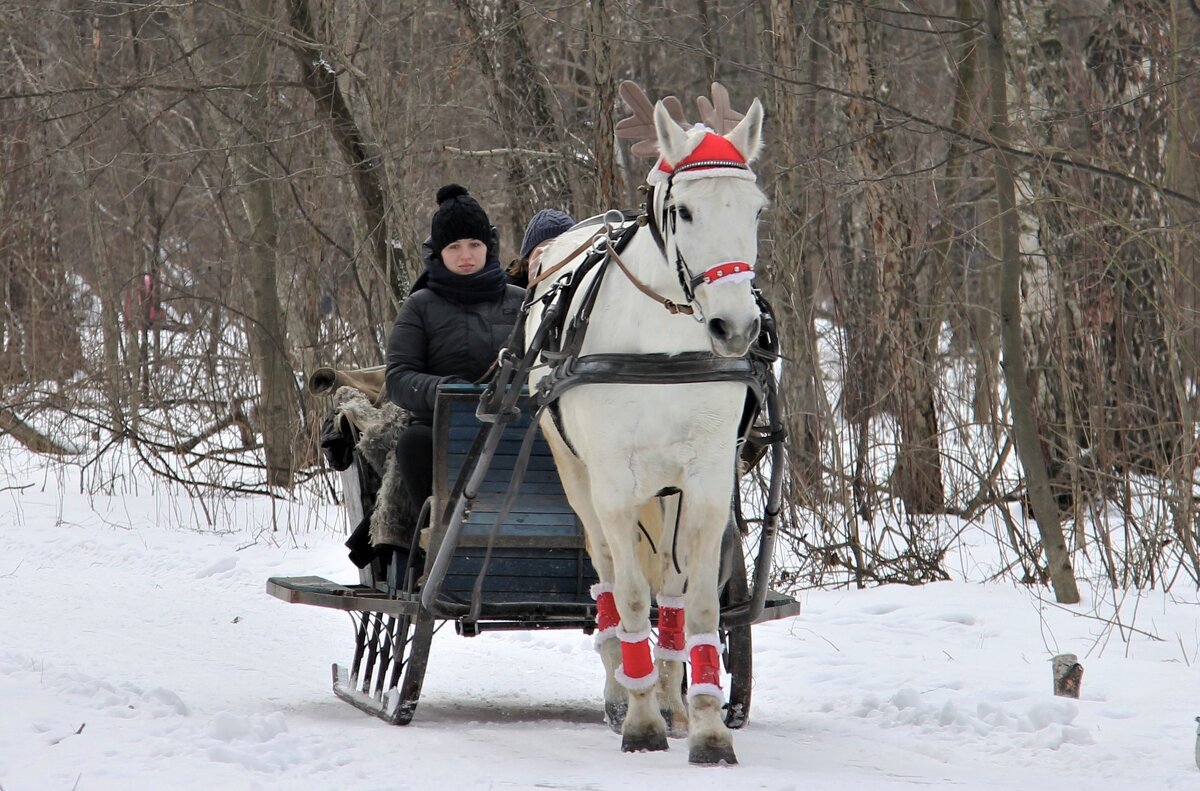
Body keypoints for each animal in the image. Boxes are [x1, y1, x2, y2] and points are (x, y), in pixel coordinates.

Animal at [528, 96, 768, 763]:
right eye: (684, 209)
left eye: (755, 208)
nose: (735, 327)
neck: (663, 347)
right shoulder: (613, 480)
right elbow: (633, 594)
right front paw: (639, 722)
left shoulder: (707, 479)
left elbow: (700, 602)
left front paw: (707, 727)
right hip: (579, 476)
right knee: (610, 572)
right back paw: (623, 691)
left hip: (667, 492)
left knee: (672, 584)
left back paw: (671, 699)